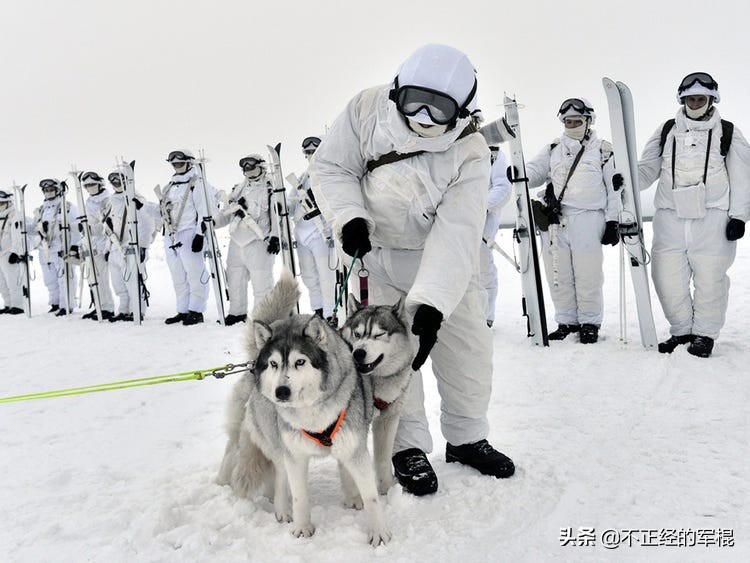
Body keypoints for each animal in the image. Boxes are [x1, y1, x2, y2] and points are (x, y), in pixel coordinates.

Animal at [342, 296, 414, 494]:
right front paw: (354, 497)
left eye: (379, 335)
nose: (358, 353)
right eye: (357, 334)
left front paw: (387, 489)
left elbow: (383, 458)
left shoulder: (388, 419)